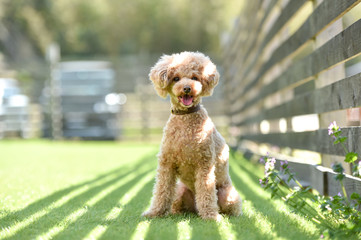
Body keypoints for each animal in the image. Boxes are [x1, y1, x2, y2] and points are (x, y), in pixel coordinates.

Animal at [142, 51, 240, 220]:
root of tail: (194, 208)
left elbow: (206, 191)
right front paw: (155, 212)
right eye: (176, 78)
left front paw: (210, 216)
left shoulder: (204, 164)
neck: (185, 119)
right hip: (180, 190)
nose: (187, 88)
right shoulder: (167, 163)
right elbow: (161, 190)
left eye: (195, 78)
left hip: (228, 195)